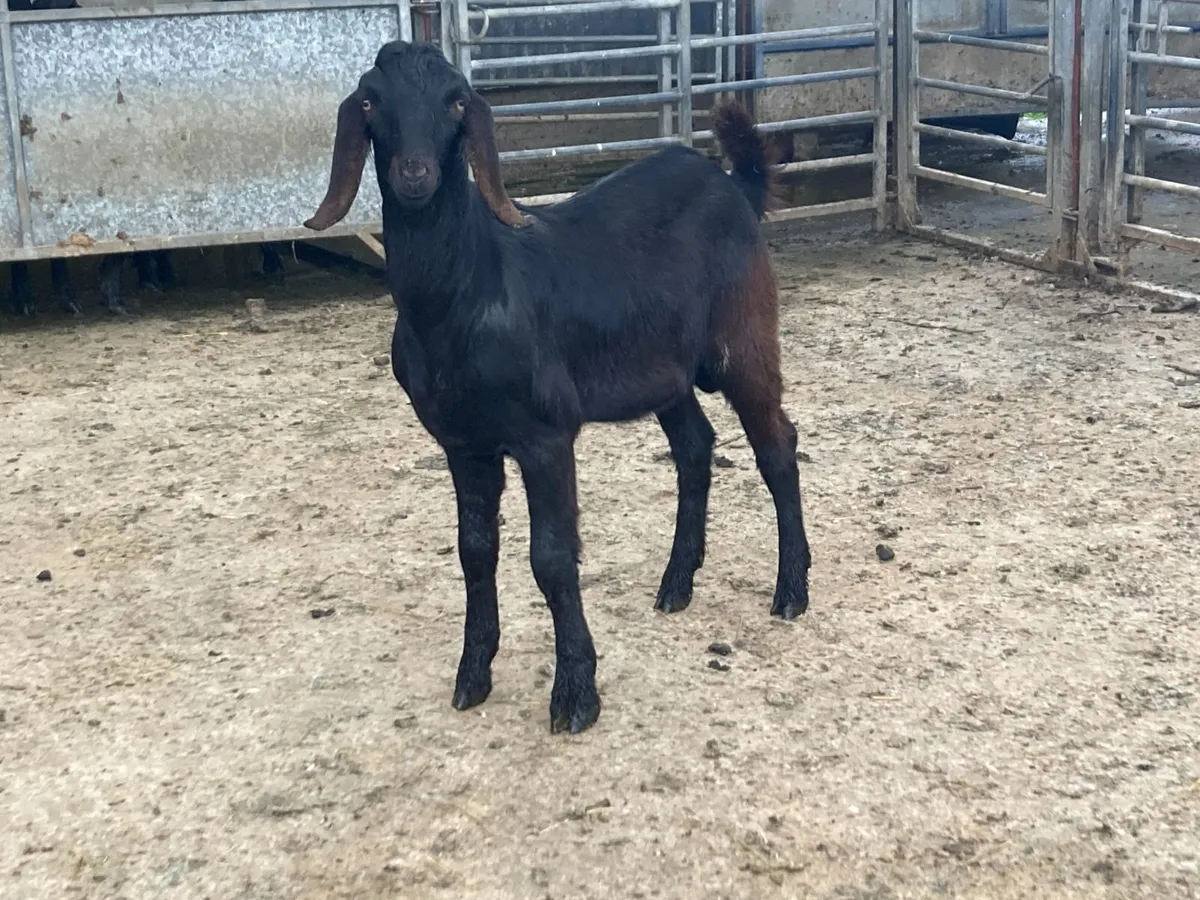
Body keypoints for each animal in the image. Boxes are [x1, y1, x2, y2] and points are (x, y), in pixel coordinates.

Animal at [304, 41, 812, 735]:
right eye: (371, 101)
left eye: (456, 102)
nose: (414, 174)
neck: (469, 292)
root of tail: (737, 186)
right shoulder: (463, 444)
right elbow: (474, 550)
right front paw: (473, 675)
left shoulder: (544, 436)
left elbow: (550, 557)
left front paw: (575, 694)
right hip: (662, 369)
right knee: (695, 447)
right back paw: (676, 584)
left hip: (744, 338)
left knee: (777, 446)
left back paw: (791, 592)